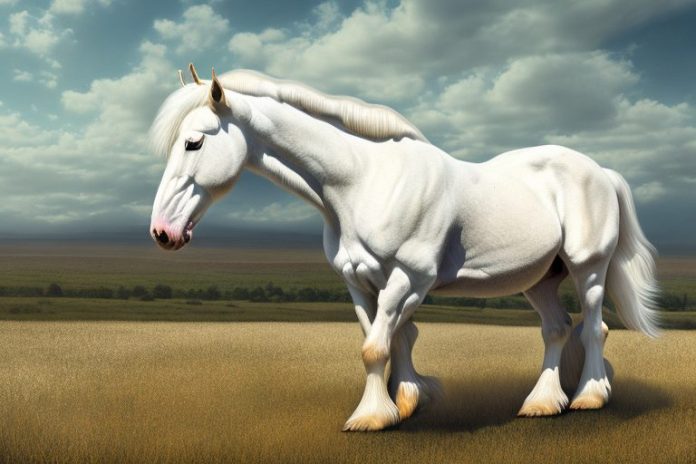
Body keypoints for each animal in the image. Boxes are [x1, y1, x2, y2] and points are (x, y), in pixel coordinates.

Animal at [149, 65, 660, 432]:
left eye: (193, 142)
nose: (162, 232)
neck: (363, 181)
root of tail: (600, 171)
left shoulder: (409, 277)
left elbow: (378, 346)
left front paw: (371, 417)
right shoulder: (359, 282)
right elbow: (391, 339)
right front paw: (407, 399)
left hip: (588, 268)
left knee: (593, 328)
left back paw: (589, 395)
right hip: (538, 279)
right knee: (555, 330)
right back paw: (541, 403)